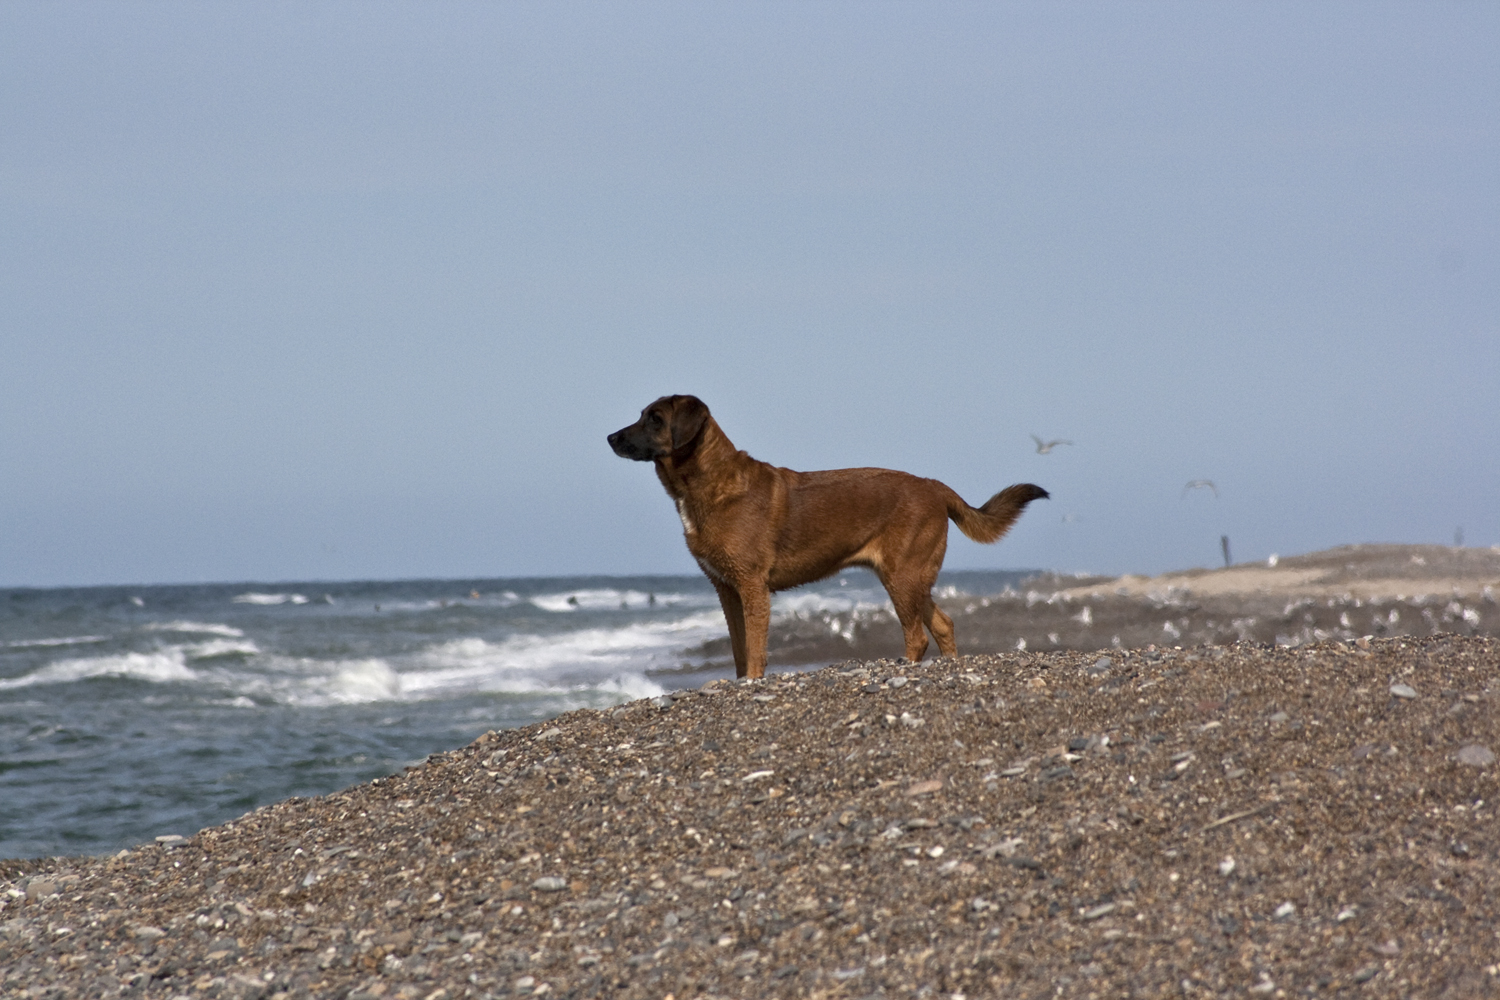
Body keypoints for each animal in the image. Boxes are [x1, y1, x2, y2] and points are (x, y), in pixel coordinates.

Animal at [603, 395, 1050, 680]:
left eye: (655, 419)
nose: (610, 437)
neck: (706, 482)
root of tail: (936, 486)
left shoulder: (751, 587)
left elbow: (755, 647)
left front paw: (753, 682)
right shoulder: (726, 589)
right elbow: (738, 646)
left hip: (903, 578)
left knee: (918, 636)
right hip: (913, 579)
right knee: (943, 624)